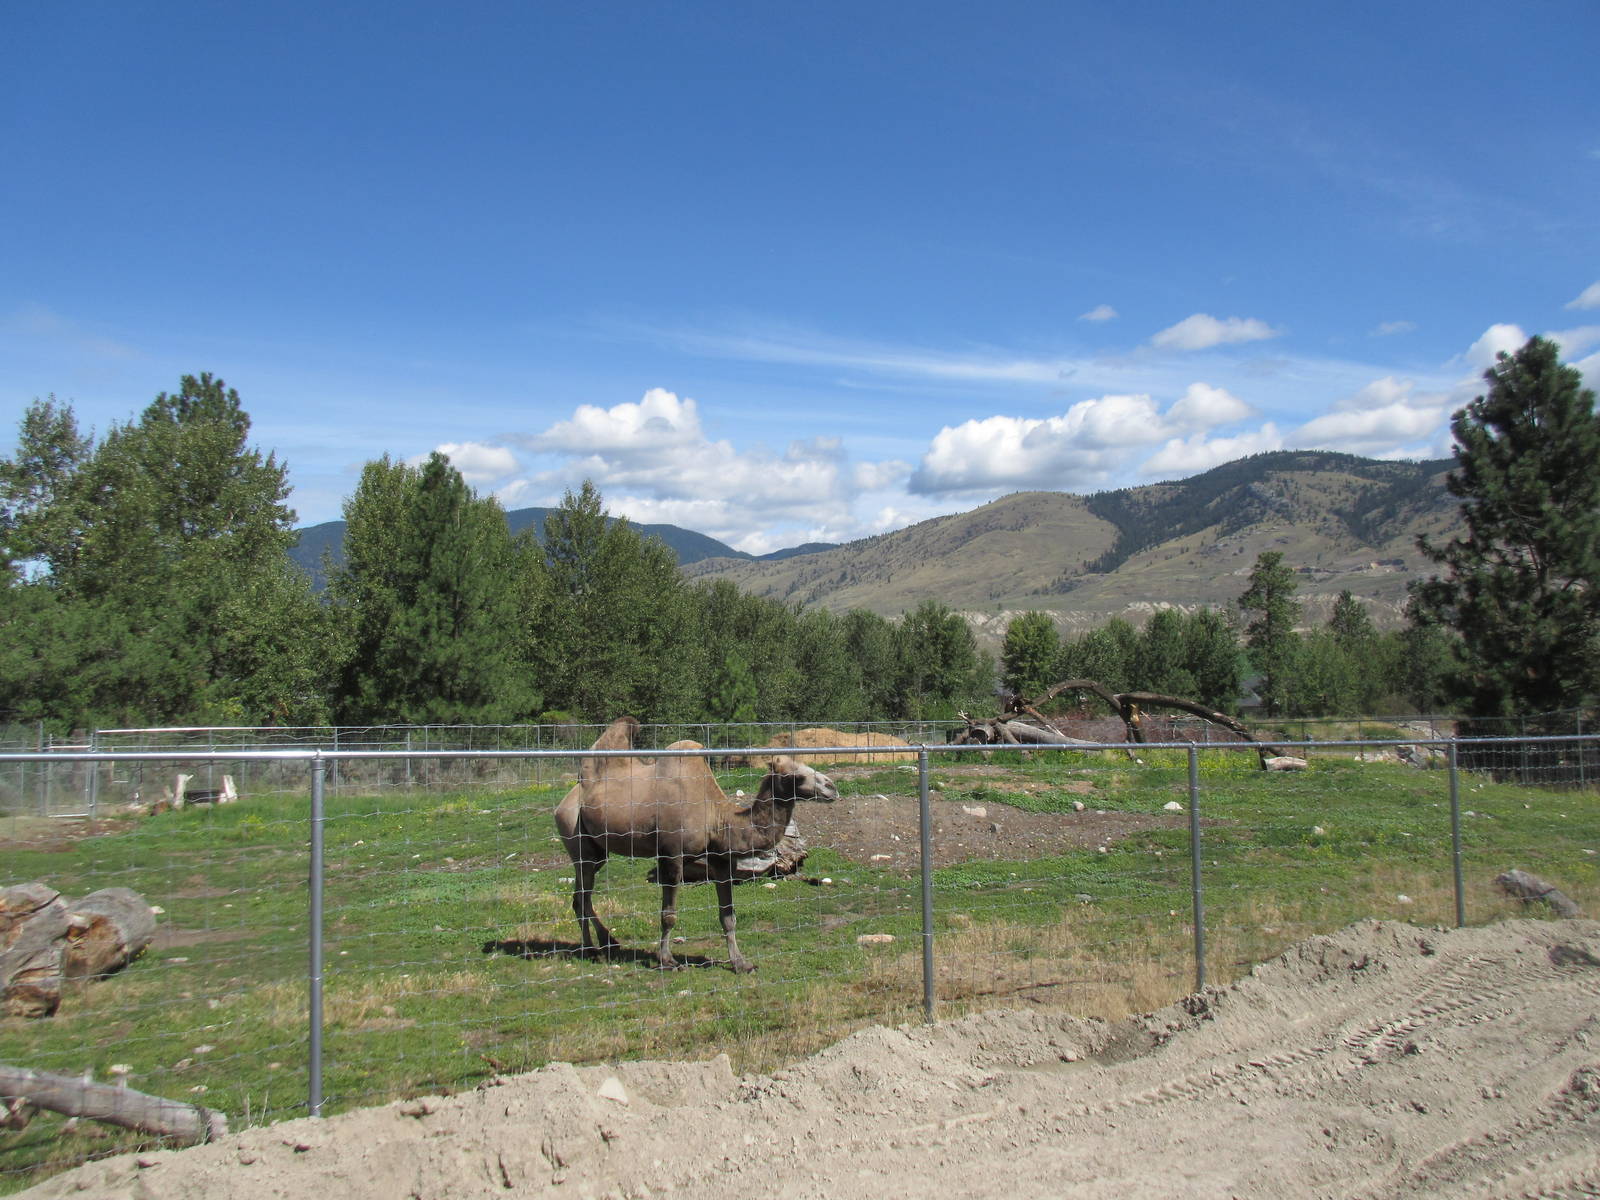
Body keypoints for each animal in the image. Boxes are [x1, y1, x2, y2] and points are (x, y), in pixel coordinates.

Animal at [554, 716, 839, 973]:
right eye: (796, 776)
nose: (832, 787)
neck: (717, 816)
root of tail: (565, 801)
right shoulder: (671, 854)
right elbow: (668, 914)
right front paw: (667, 961)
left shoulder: (720, 858)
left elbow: (728, 916)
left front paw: (741, 963)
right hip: (575, 836)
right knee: (582, 896)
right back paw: (593, 950)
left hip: (596, 851)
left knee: (580, 896)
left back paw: (607, 944)